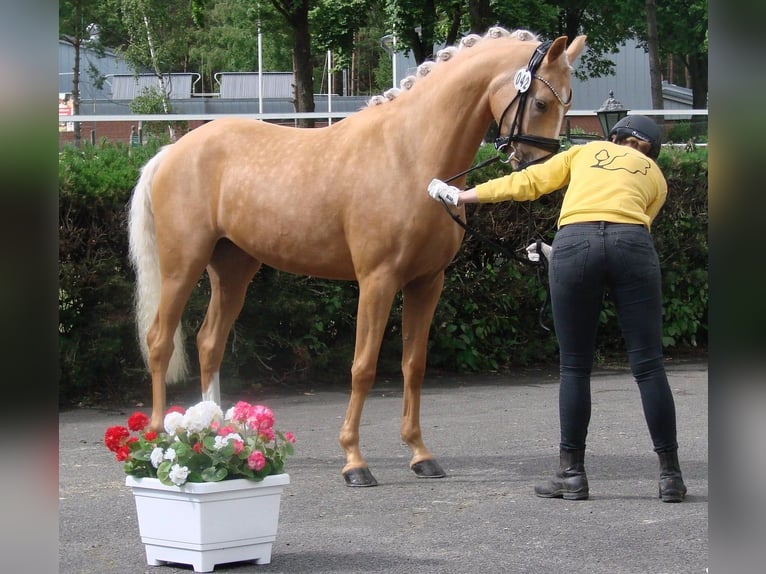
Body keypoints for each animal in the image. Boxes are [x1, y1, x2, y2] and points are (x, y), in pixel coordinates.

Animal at [130, 25, 588, 486]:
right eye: (542, 102)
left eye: (569, 101)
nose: (542, 172)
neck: (409, 156)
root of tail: (171, 152)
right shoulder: (377, 281)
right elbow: (363, 367)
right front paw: (354, 461)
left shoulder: (427, 282)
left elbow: (413, 365)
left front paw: (420, 454)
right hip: (181, 267)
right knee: (159, 341)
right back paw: (157, 435)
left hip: (233, 268)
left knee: (210, 342)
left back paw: (222, 430)